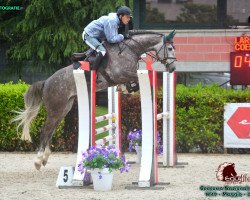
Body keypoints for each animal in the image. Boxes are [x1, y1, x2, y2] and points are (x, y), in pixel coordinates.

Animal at [11, 30, 176, 170]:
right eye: (170, 48)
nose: (173, 68)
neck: (131, 49)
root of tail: (46, 82)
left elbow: (133, 81)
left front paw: (125, 88)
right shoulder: (121, 73)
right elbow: (135, 77)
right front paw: (127, 87)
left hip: (63, 109)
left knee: (50, 131)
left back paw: (44, 158)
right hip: (55, 109)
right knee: (45, 131)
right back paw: (38, 160)